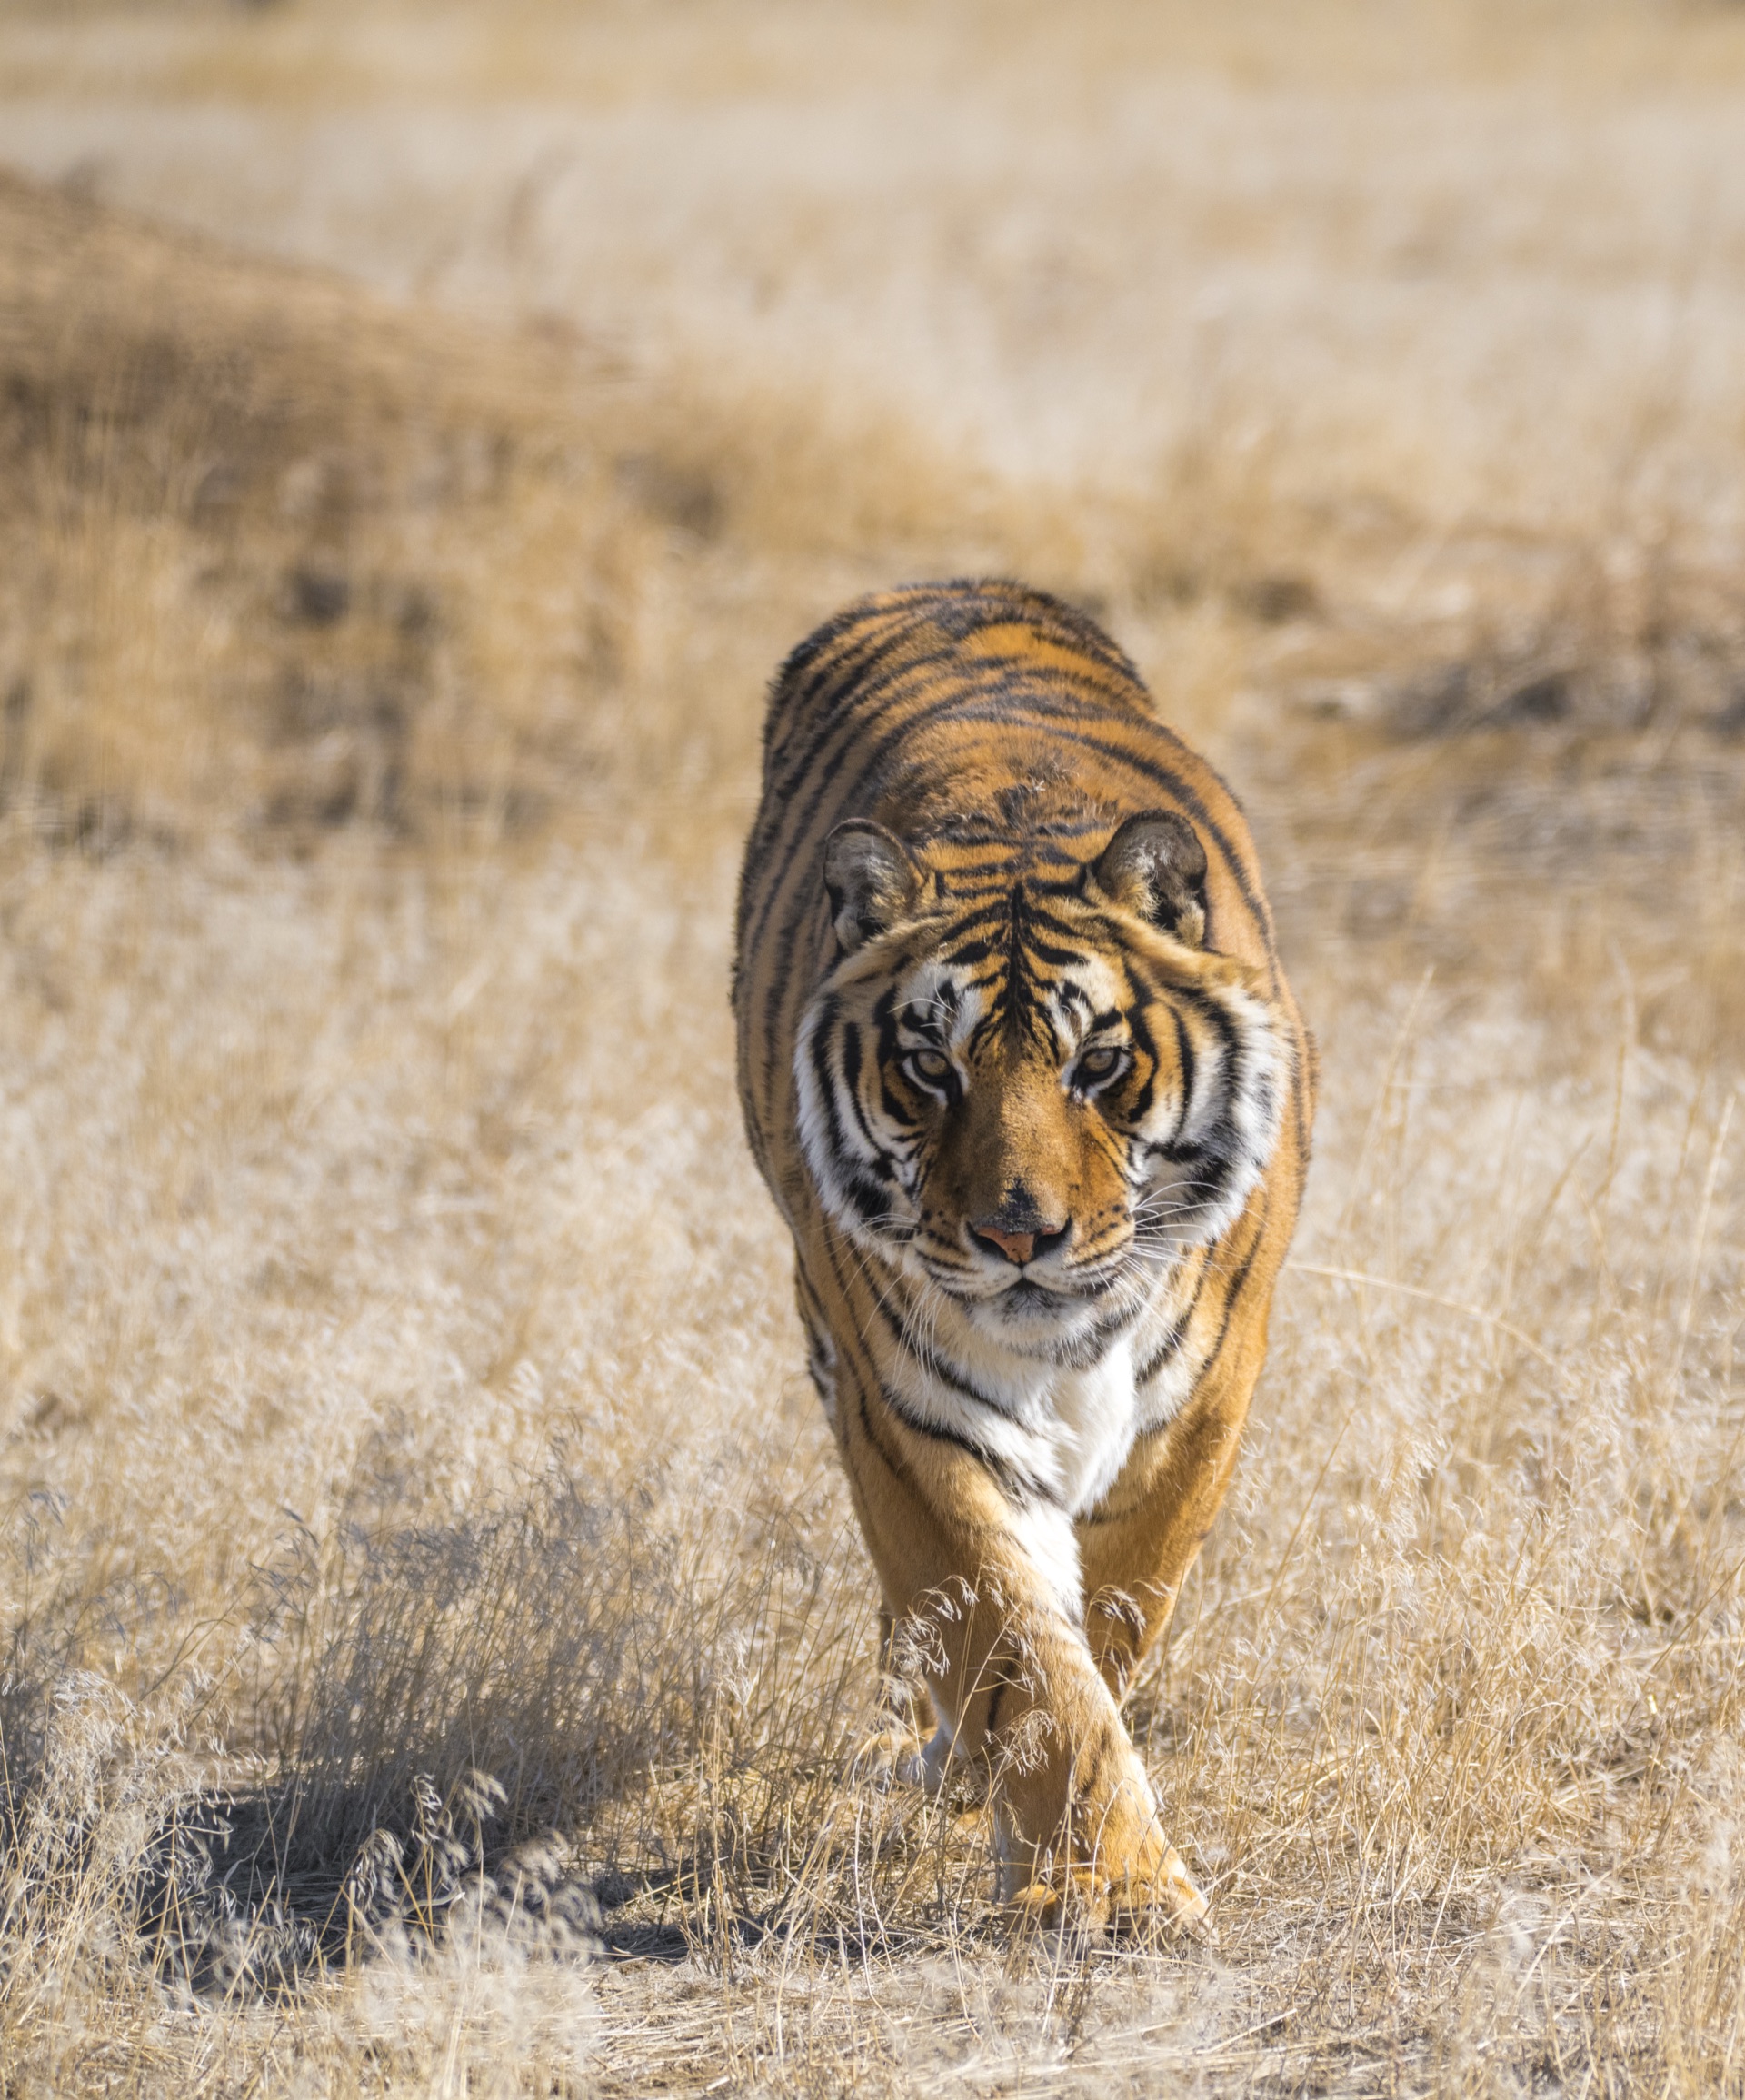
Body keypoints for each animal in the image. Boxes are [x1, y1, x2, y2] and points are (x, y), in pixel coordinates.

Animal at [733, 579, 1313, 1928]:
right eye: (929, 1066)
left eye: (1096, 1063)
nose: (1017, 1236)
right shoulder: (913, 1412)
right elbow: (1022, 1643)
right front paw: (1105, 1883)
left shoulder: (1208, 1389)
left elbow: (1121, 1598)